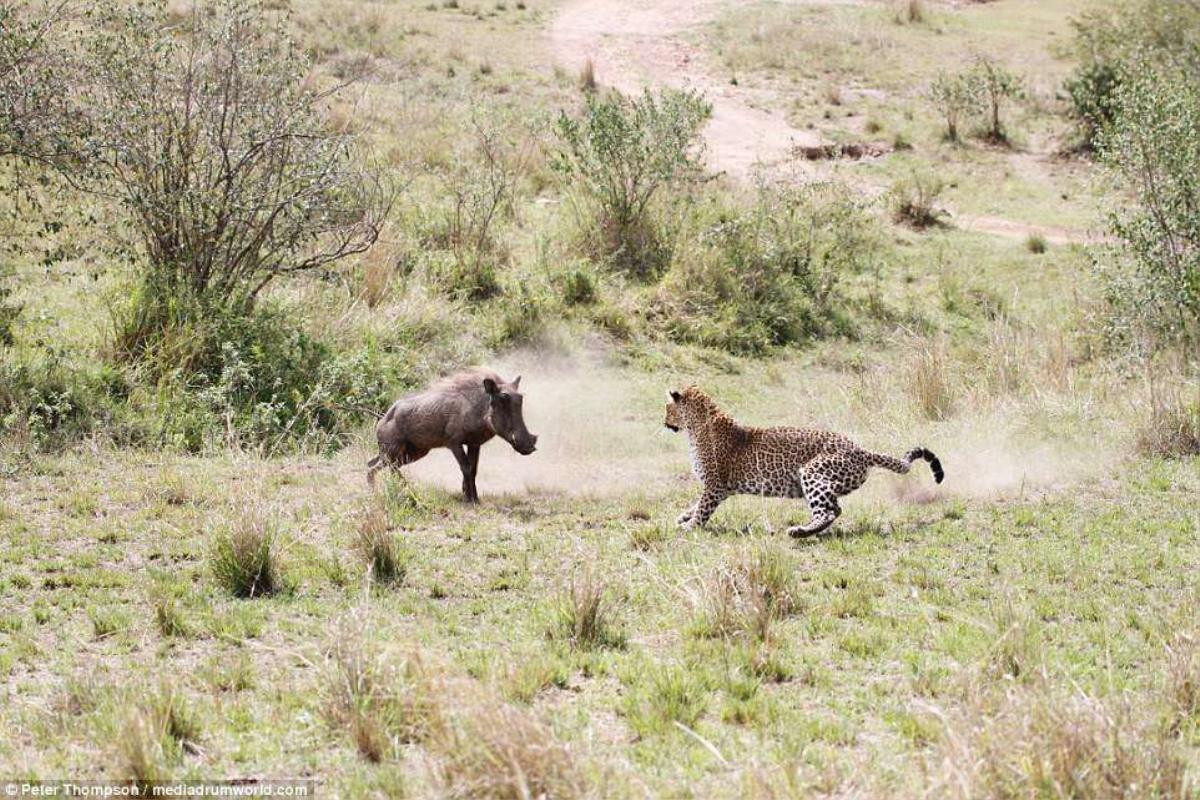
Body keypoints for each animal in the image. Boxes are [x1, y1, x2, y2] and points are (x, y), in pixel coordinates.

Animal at [662, 383, 940, 534]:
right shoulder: (721, 489)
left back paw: (799, 532)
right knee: (835, 509)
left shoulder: (715, 485)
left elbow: (702, 508)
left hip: (812, 472)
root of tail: (860, 449)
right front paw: (684, 517)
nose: (663, 422)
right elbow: (696, 504)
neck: (696, 427)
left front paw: (689, 526)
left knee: (826, 512)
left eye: (667, 408)